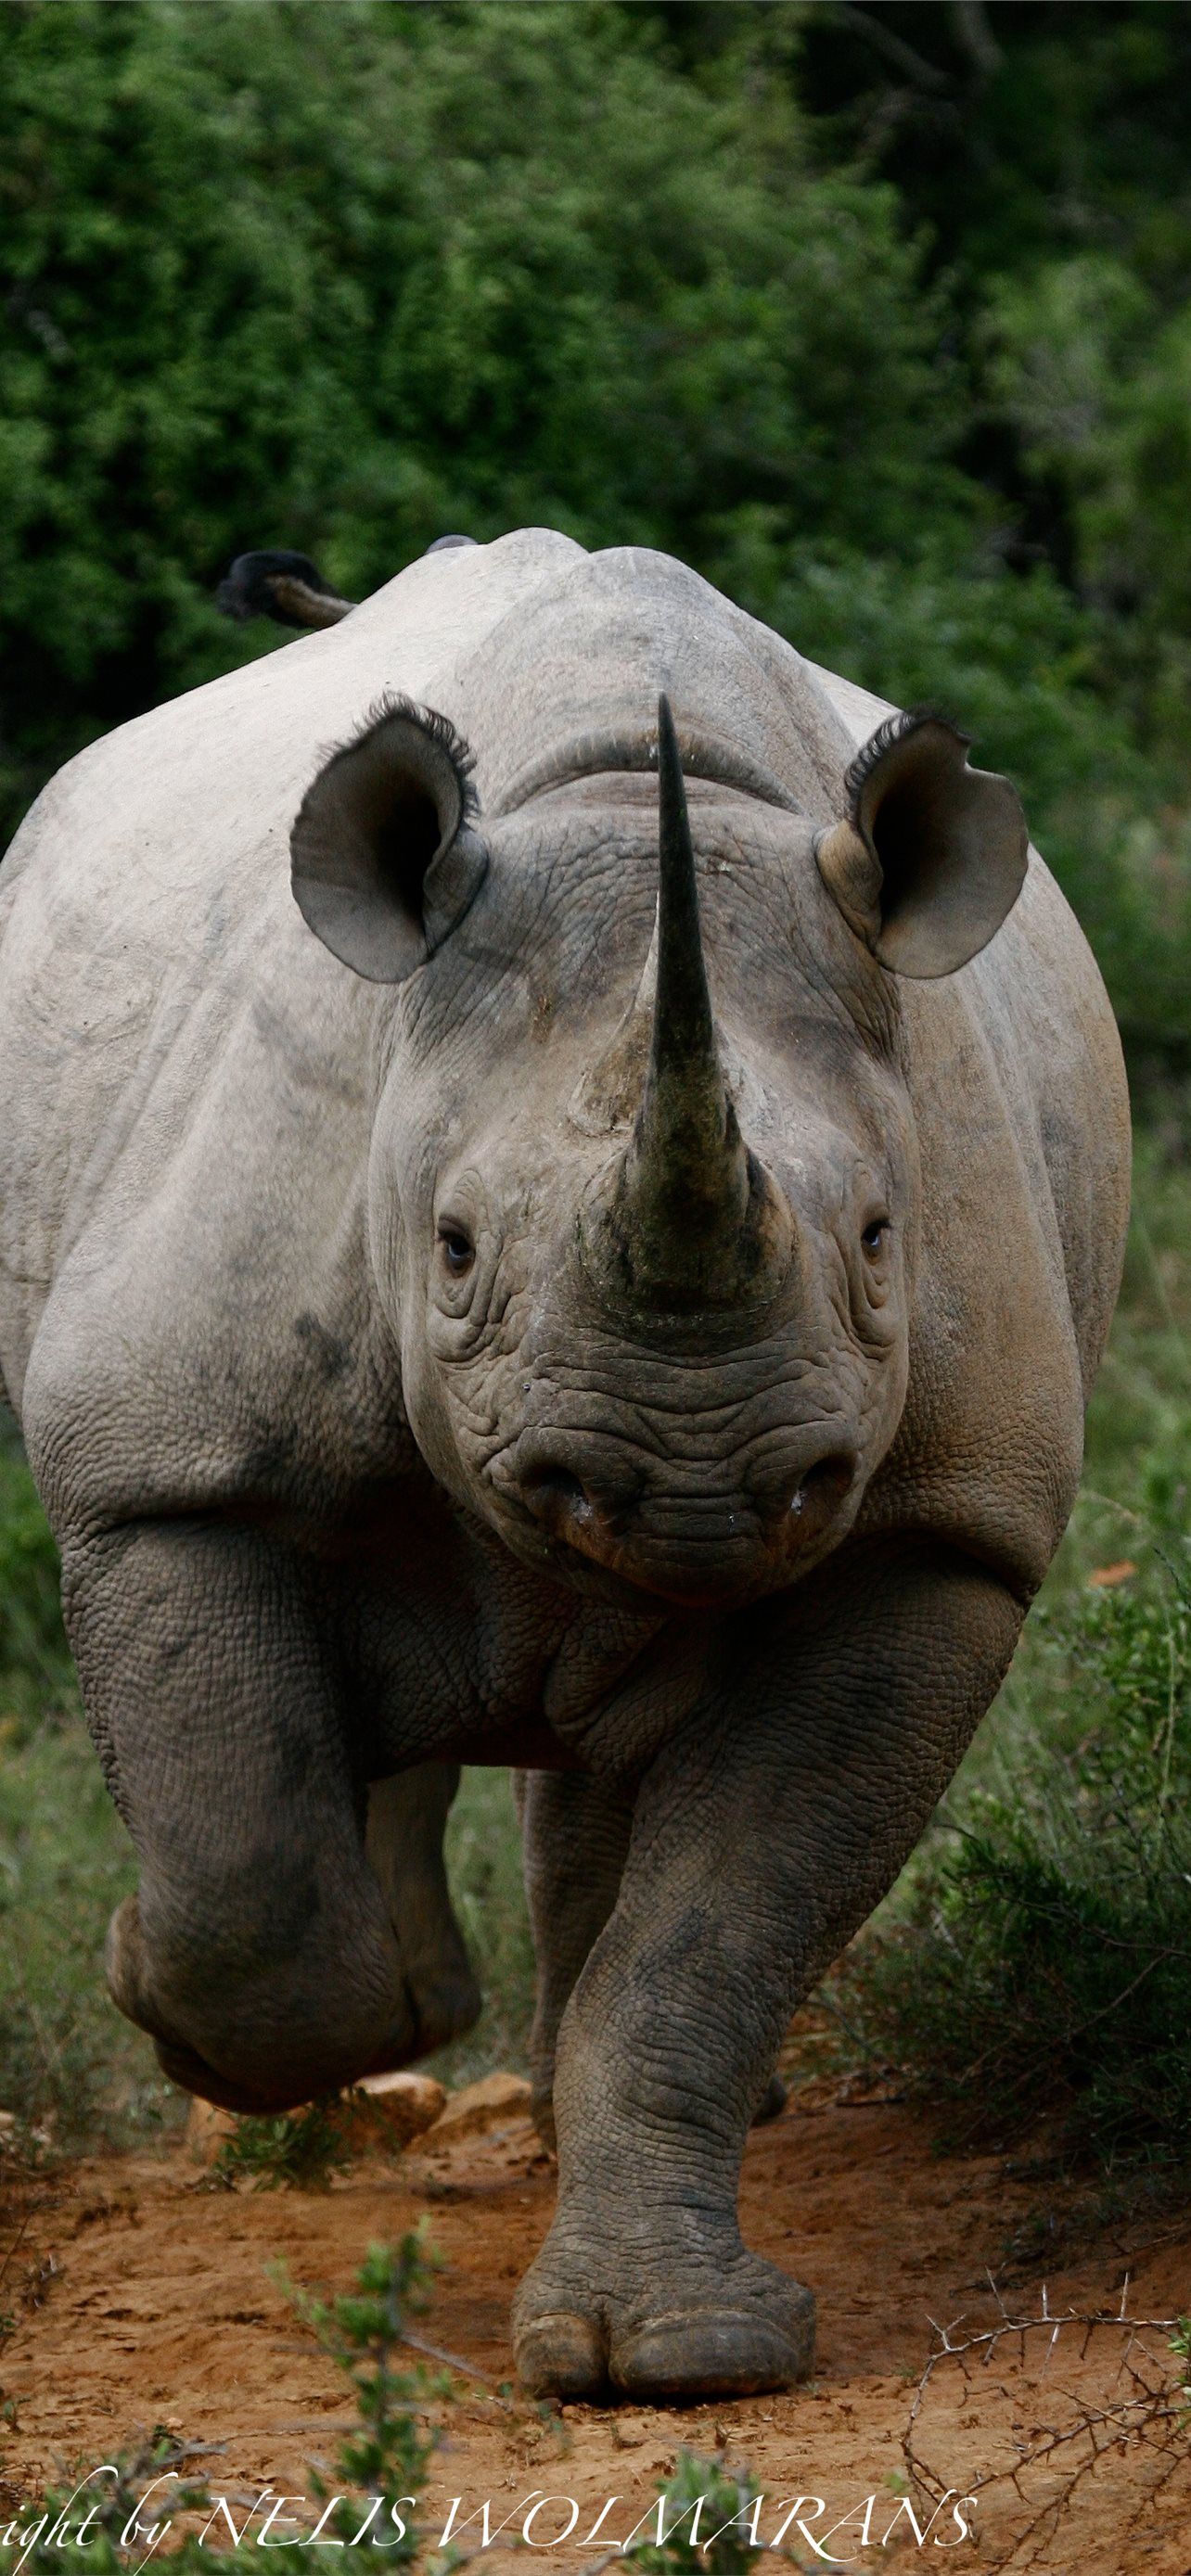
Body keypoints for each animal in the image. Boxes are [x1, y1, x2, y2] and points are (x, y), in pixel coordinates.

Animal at [0, 529, 1129, 2401]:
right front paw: (172, 1998)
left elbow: (710, 1939)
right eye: (454, 1252)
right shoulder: (158, 1460)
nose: (691, 1482)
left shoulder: (941, 1536)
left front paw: (673, 2355)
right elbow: (249, 1890)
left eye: (881, 1243)